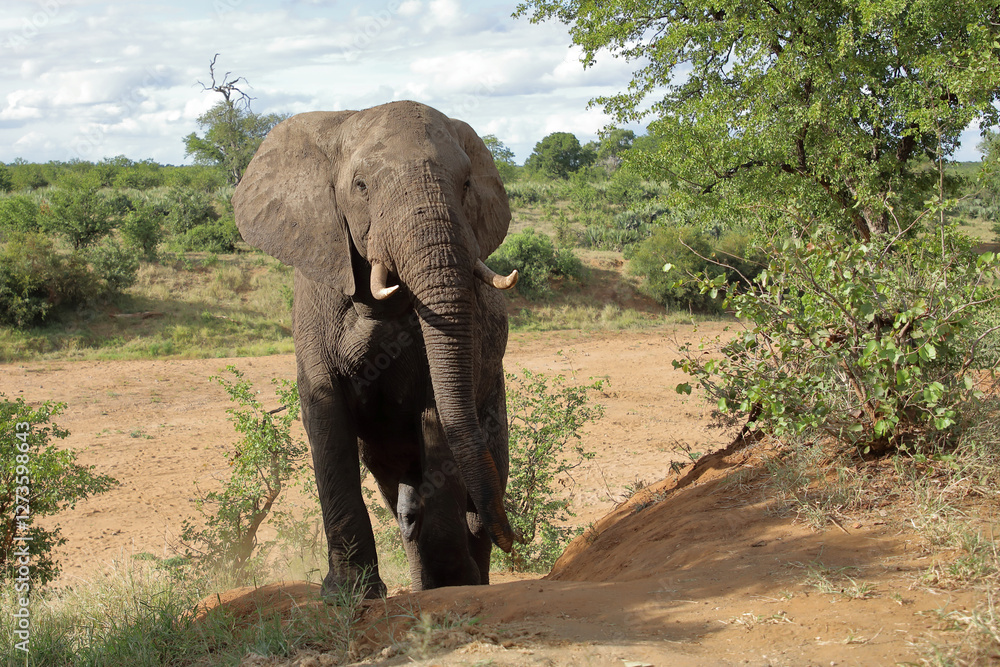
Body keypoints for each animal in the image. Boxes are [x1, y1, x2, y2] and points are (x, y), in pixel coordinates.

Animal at [232, 100, 520, 598]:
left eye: (466, 184)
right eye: (361, 186)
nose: (517, 541)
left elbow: (437, 413)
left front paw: (452, 586)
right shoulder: (314, 296)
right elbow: (325, 416)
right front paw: (348, 593)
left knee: (479, 488)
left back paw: (465, 582)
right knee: (404, 505)